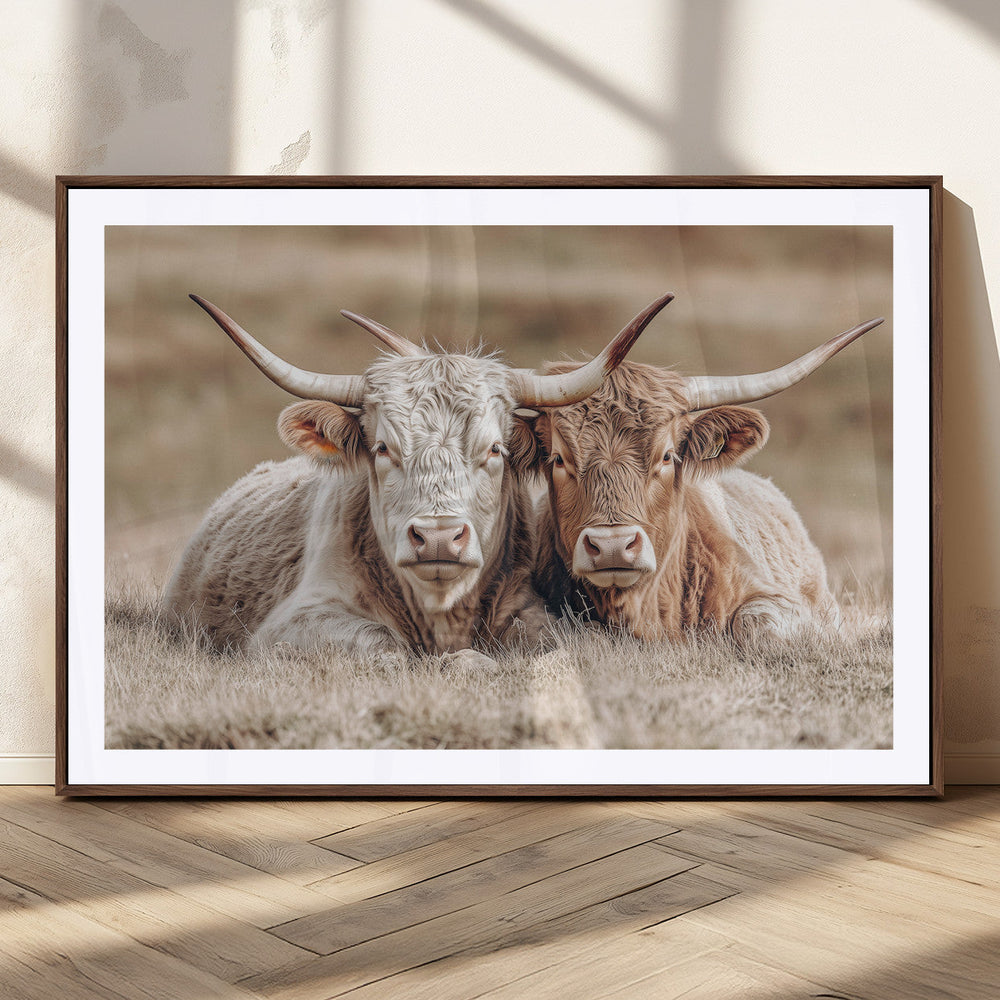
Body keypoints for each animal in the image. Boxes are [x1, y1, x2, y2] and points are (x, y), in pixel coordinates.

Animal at [162, 293, 673, 662]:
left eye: (495, 449)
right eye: (383, 448)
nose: (439, 538)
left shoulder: (530, 609)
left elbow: (571, 641)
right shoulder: (294, 623)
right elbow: (384, 646)